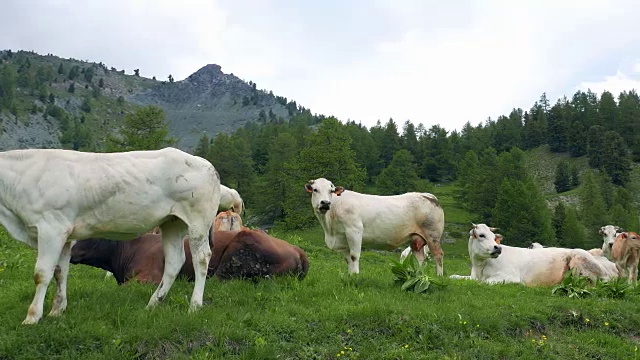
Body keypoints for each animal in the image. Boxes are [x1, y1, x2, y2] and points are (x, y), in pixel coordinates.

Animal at [0, 146, 220, 324]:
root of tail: (207, 165)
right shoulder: (65, 234)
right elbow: (60, 272)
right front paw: (57, 311)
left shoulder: (51, 228)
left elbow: (42, 273)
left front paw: (32, 317)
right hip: (172, 223)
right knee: (175, 261)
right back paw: (153, 304)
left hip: (198, 222)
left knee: (201, 259)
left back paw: (194, 305)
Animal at [304, 178, 444, 276]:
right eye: (315, 189)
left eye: (331, 191)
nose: (325, 203)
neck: (330, 229)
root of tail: (427, 196)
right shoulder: (342, 239)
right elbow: (348, 259)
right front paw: (350, 275)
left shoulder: (354, 231)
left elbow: (354, 256)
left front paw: (356, 275)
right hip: (415, 239)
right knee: (420, 258)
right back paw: (418, 276)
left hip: (433, 236)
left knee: (438, 255)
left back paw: (439, 276)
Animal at [448, 224, 616, 286]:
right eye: (482, 235)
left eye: (494, 236)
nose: (497, 248)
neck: (480, 267)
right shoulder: (473, 276)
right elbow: (453, 276)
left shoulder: (510, 276)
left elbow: (485, 282)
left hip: (579, 259)